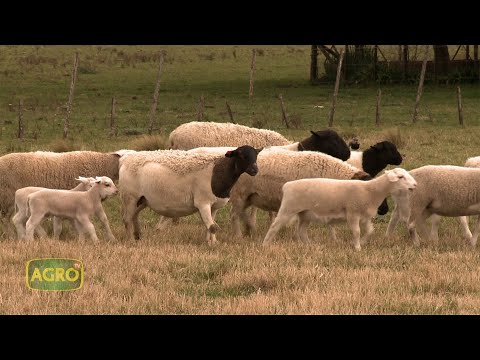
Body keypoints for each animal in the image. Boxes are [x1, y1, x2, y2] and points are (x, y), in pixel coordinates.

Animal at [119, 146, 262, 245]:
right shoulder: (202, 203)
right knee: (126, 219)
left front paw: (212, 242)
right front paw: (211, 244)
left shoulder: (214, 206)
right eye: (242, 155)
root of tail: (125, 159)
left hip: (142, 199)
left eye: (256, 156)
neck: (217, 173)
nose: (255, 170)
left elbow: (211, 225)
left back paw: (138, 235)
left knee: (134, 216)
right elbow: (212, 227)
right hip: (130, 197)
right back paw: (130, 240)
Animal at [229, 150, 372, 239]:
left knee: (240, 214)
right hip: (240, 194)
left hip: (248, 197)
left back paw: (249, 229)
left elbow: (330, 224)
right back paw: (239, 235)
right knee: (234, 216)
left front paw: (334, 239)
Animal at [262, 168, 416, 250]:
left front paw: (363, 242)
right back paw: (265, 245)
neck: (371, 191)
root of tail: (287, 185)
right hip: (288, 209)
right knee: (274, 226)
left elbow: (370, 231)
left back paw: (310, 246)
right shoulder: (352, 213)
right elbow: (356, 232)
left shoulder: (365, 216)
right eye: (401, 177)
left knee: (301, 231)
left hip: (305, 214)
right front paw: (357, 247)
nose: (415, 185)